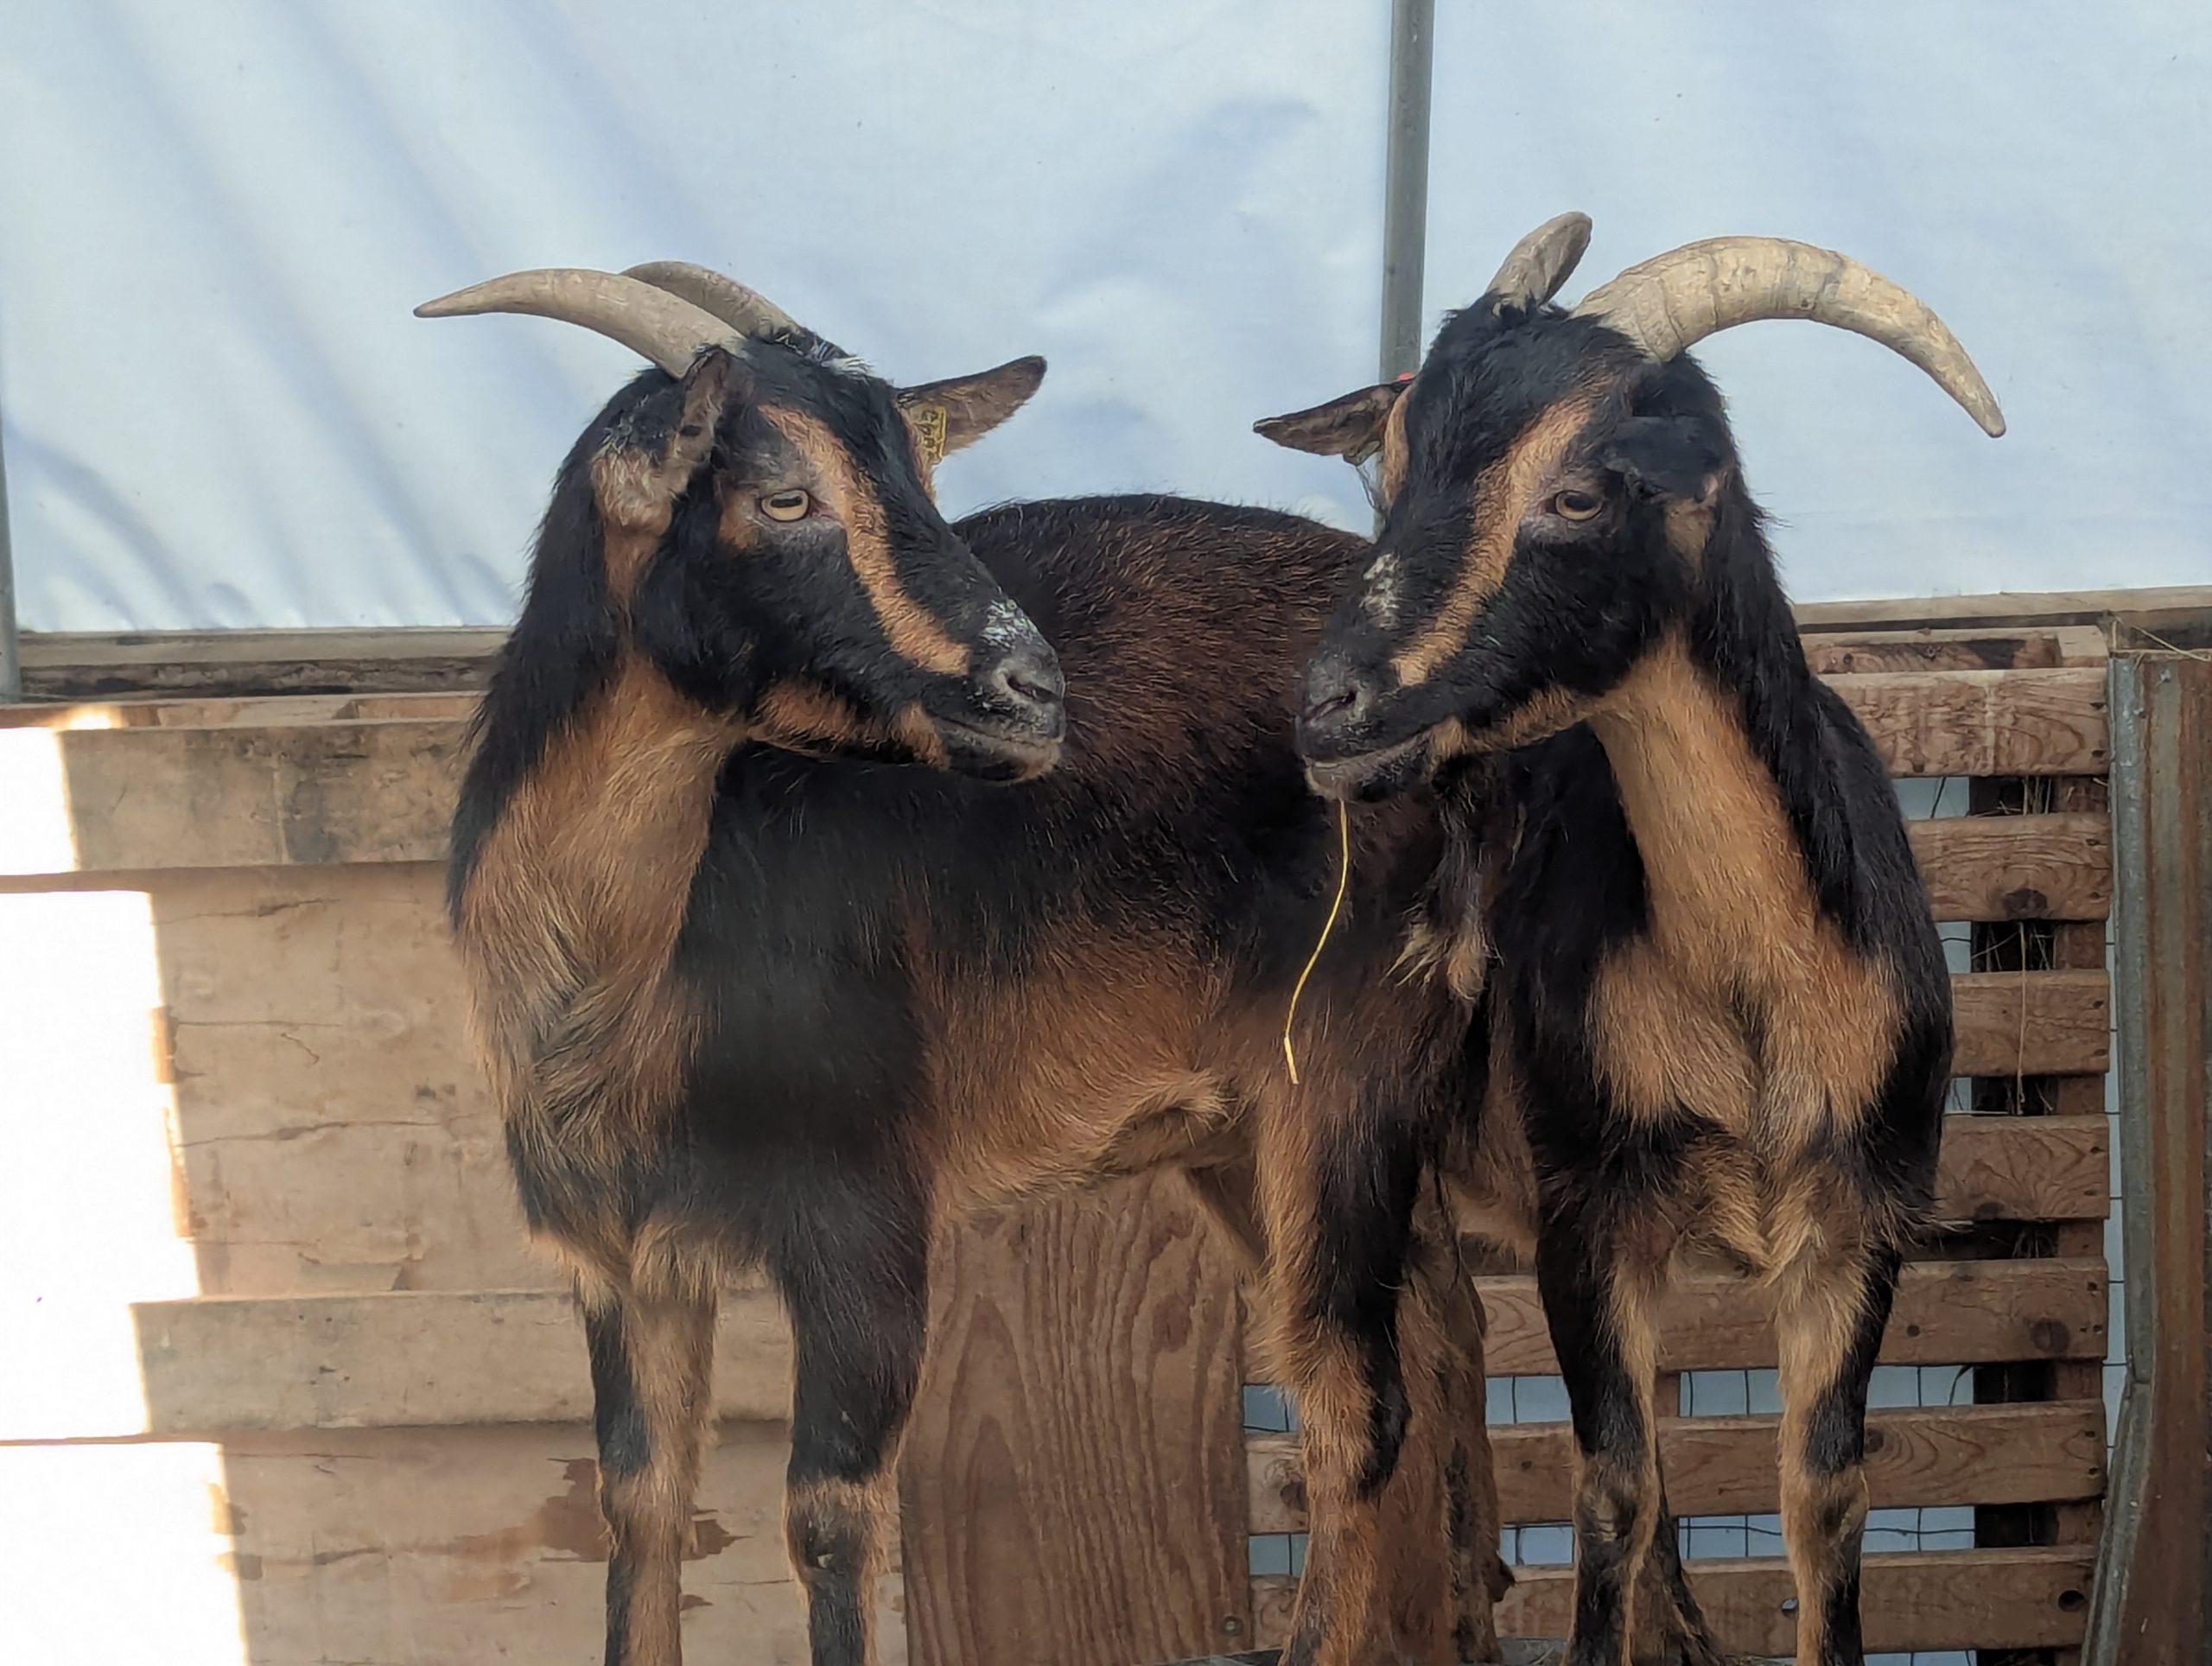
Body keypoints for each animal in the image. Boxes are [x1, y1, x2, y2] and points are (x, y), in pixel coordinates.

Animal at [418, 263, 1512, 1666]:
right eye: (785, 495)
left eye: (921, 486)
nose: (1029, 688)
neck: (630, 972)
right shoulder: (621, 1256)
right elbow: (642, 1504)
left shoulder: (865, 1213)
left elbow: (830, 1518)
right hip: (1255, 1124)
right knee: (1440, 1323)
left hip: (1343, 1069)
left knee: (1352, 1398)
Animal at [1256, 216, 2001, 1666]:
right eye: (1391, 474)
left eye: (1584, 493)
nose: (1329, 710)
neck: (1752, 985)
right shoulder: (1590, 1207)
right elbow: (1615, 1486)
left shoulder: (1858, 1215)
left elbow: (1821, 1492)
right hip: (1341, 1139)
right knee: (1368, 1400)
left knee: (1447, 1373)